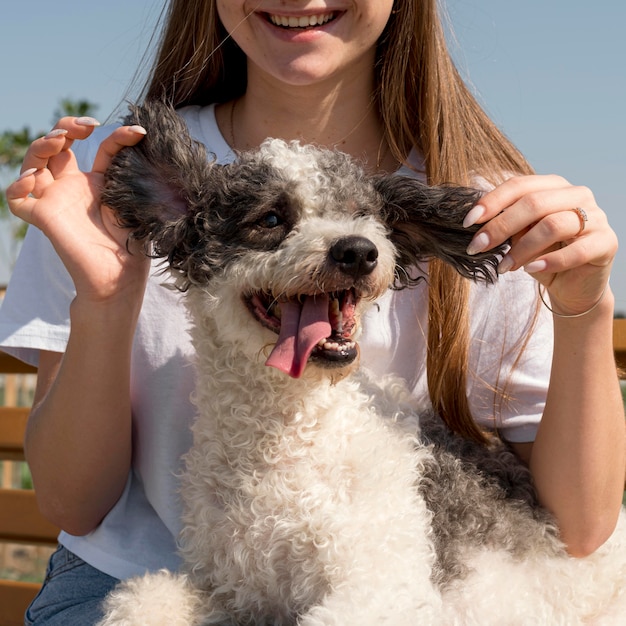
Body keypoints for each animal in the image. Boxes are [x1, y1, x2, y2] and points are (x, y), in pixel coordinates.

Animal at [96, 100, 624, 620]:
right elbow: (144, 599)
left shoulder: (383, 587)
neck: (288, 443)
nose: (357, 251)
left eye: (364, 215)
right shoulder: (233, 590)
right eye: (271, 219)